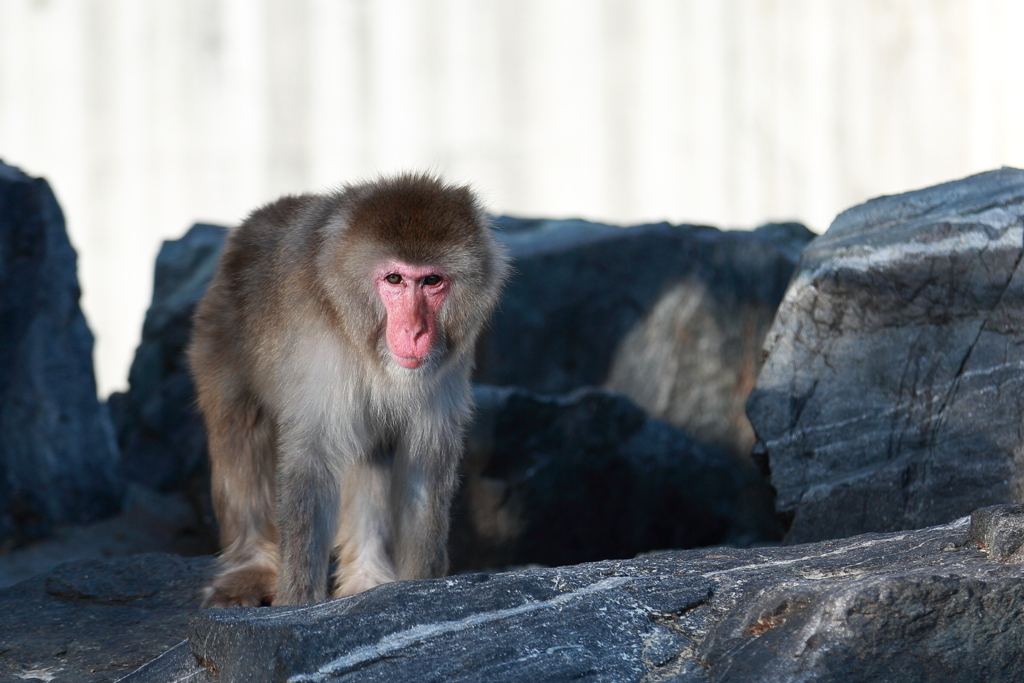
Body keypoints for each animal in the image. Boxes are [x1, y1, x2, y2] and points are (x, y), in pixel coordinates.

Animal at [188, 174, 507, 606]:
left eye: (432, 281)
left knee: (371, 453)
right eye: (394, 279)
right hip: (217, 335)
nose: (415, 332)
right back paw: (249, 566)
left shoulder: (449, 361)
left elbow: (425, 465)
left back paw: (367, 578)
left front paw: (421, 586)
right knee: (240, 431)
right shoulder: (317, 347)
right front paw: (297, 603)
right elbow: (311, 464)